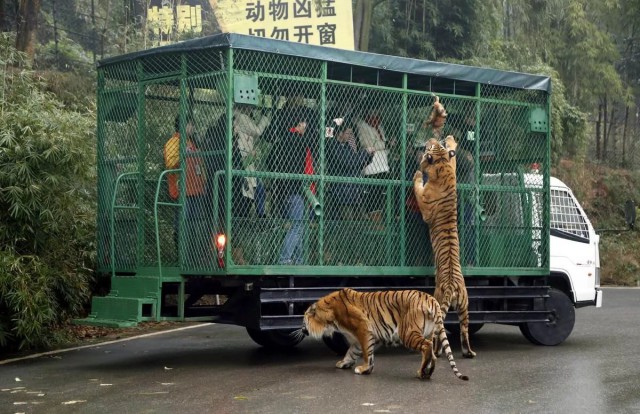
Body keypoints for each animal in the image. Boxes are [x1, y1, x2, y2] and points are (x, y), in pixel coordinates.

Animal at [416, 133, 476, 360]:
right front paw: (451, 140)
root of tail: (452, 285)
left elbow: (417, 186)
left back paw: (436, 351)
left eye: (430, 146)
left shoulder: (424, 203)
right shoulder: (453, 166)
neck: (441, 164)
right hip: (465, 305)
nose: (431, 138)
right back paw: (469, 353)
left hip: (438, 298)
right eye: (437, 144)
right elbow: (455, 157)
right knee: (464, 331)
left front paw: (417, 171)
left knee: (436, 332)